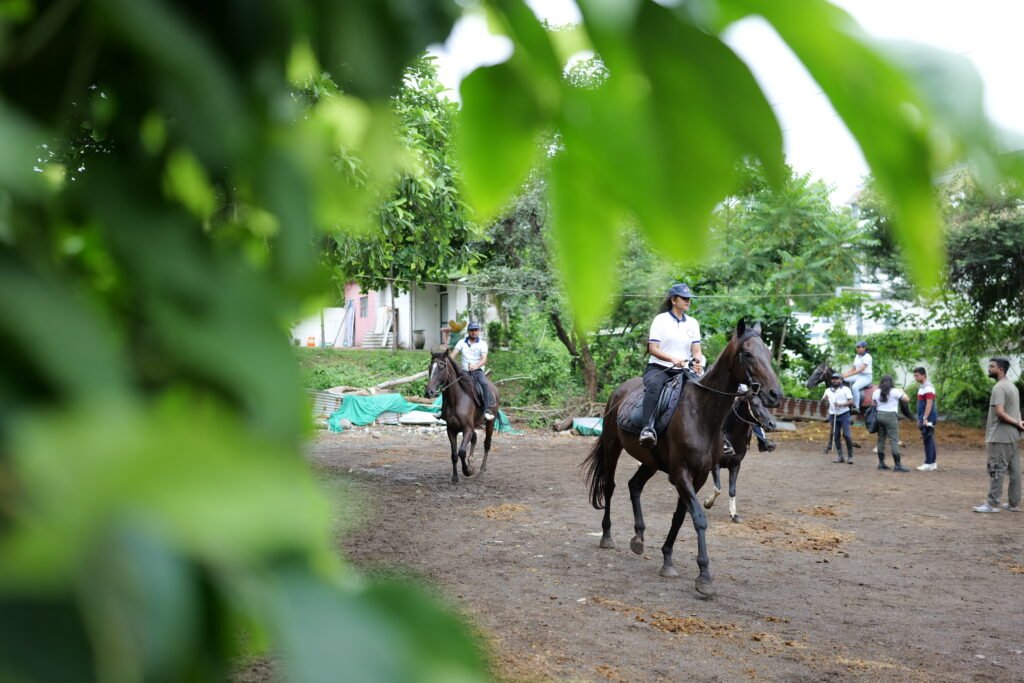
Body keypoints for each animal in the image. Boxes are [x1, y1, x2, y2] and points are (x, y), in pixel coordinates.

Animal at [423, 352, 499, 485]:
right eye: (429, 367)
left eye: (441, 367)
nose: (429, 392)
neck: (456, 400)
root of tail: (494, 388)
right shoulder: (451, 430)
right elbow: (454, 455)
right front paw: (455, 477)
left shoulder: (467, 428)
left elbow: (462, 452)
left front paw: (468, 471)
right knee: (474, 438)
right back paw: (471, 460)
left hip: (490, 423)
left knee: (487, 444)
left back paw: (481, 470)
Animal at [581, 321, 778, 598]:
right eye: (747, 354)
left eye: (769, 355)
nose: (774, 394)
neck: (701, 413)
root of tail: (618, 392)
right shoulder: (681, 474)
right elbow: (699, 518)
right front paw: (704, 576)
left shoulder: (699, 475)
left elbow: (680, 516)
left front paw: (667, 559)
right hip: (612, 448)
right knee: (609, 487)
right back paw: (607, 536)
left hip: (650, 462)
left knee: (634, 485)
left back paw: (639, 537)